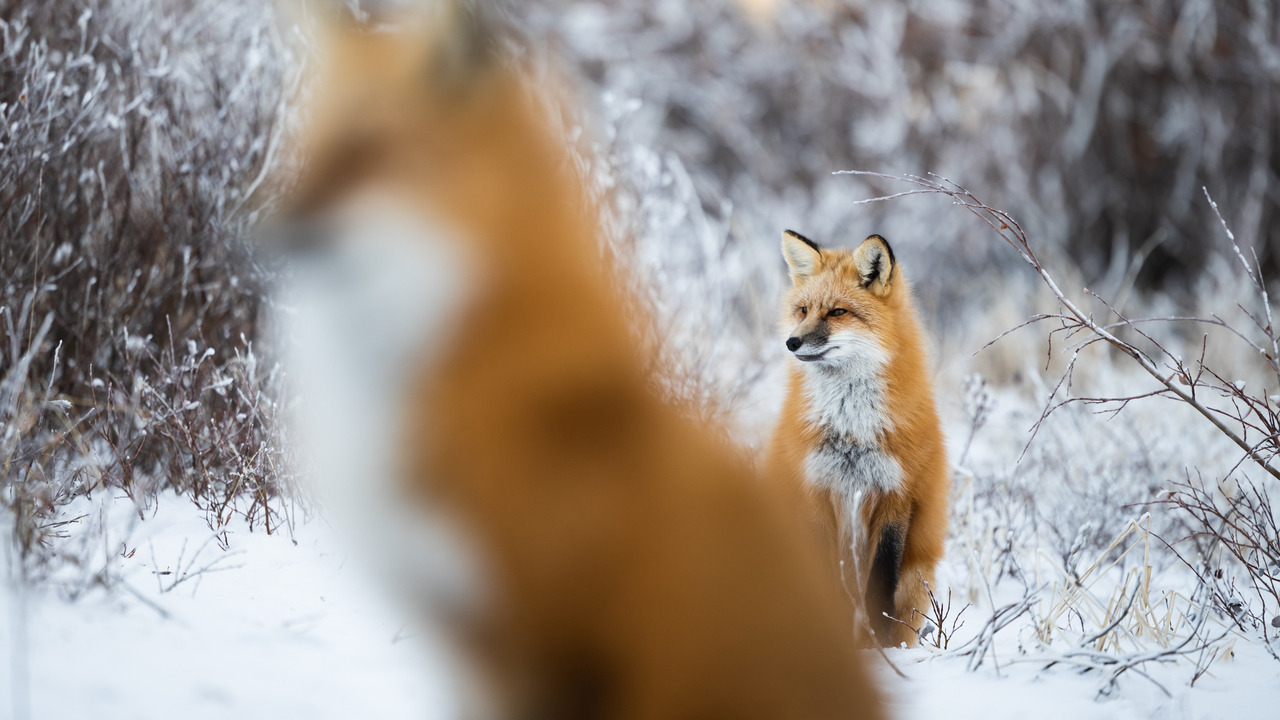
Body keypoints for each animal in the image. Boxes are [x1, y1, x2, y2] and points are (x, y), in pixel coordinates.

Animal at [764, 229, 950, 648]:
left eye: (837, 312)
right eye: (803, 310)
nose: (792, 343)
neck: (850, 429)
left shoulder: (896, 494)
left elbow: (879, 585)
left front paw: (878, 648)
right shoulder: (815, 490)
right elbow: (825, 579)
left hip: (917, 578)